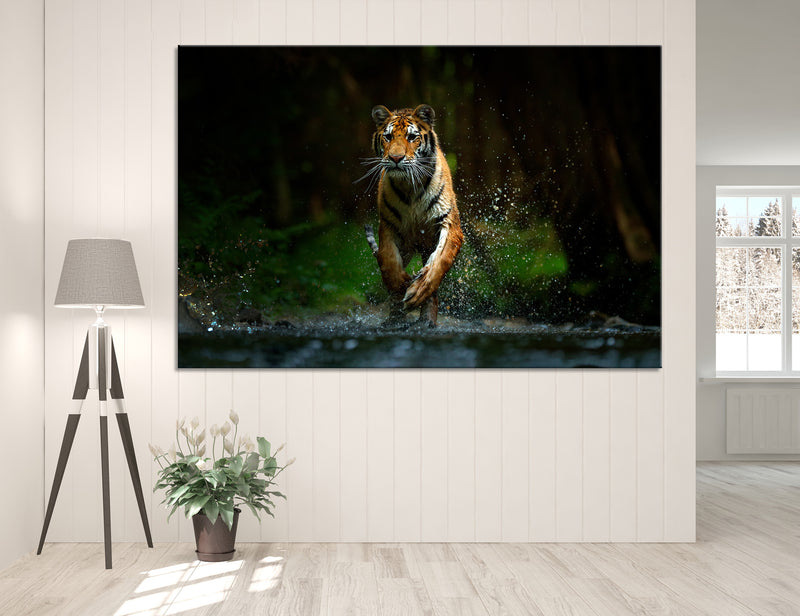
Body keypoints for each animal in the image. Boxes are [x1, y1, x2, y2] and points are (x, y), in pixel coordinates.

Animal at [363, 104, 463, 327]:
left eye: (411, 137)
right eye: (388, 137)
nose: (396, 158)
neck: (409, 186)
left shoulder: (449, 223)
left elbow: (440, 260)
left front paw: (418, 290)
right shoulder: (388, 225)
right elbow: (388, 259)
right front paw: (401, 284)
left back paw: (427, 321)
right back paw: (394, 319)